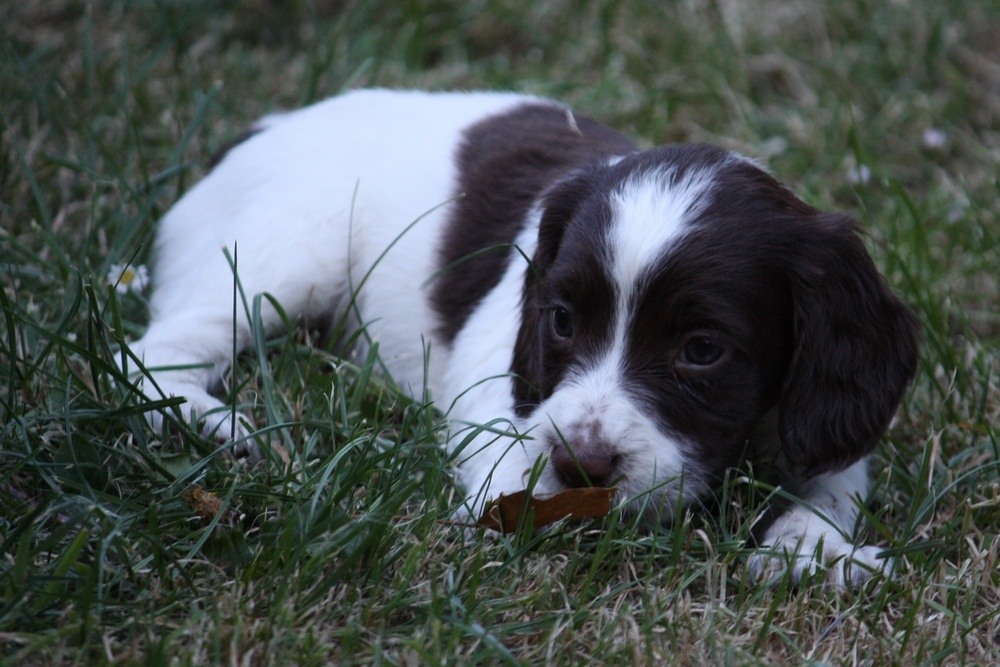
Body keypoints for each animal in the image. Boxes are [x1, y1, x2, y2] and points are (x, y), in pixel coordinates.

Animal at [129, 87, 916, 584]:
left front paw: (814, 548)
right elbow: (513, 467)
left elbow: (835, 473)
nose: (581, 466)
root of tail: (260, 129)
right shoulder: (496, 378)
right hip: (279, 255)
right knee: (150, 350)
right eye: (562, 320)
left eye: (702, 351)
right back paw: (214, 425)